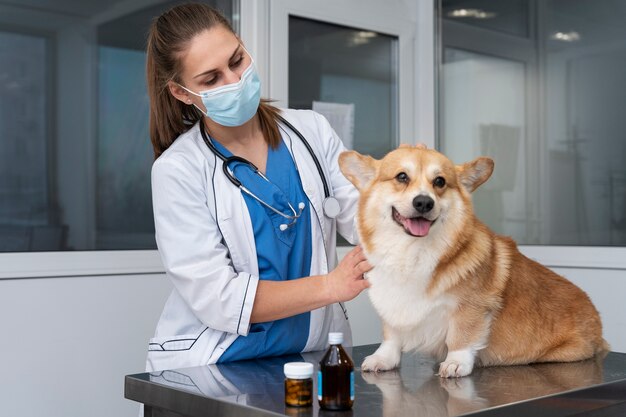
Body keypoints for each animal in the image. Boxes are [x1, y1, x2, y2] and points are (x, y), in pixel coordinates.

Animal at [338, 145, 608, 376]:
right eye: (402, 177)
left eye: (440, 182)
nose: (424, 202)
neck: (412, 252)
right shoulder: (393, 307)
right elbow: (391, 335)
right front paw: (383, 359)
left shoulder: (470, 307)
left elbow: (461, 336)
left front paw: (456, 363)